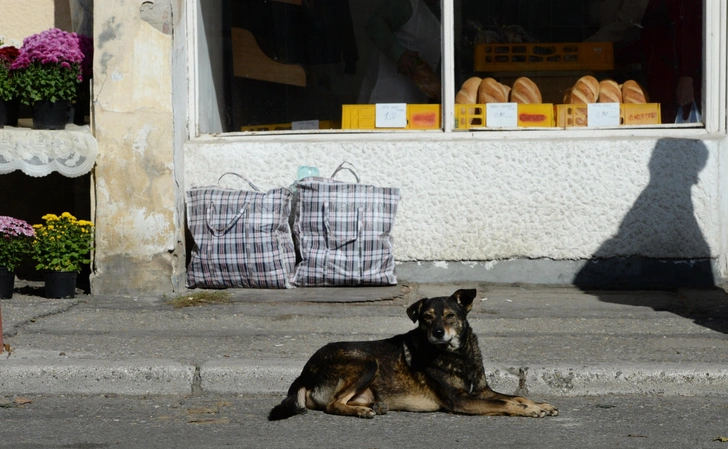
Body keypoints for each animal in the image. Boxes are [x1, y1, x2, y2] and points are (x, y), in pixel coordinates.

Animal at [268, 288, 556, 418]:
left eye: (450, 316)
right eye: (427, 317)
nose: (438, 333)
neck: (457, 355)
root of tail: (304, 372)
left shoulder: (481, 392)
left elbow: (516, 396)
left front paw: (538, 404)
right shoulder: (460, 401)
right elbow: (506, 403)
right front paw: (529, 411)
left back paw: (374, 406)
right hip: (366, 362)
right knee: (332, 404)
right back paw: (362, 412)